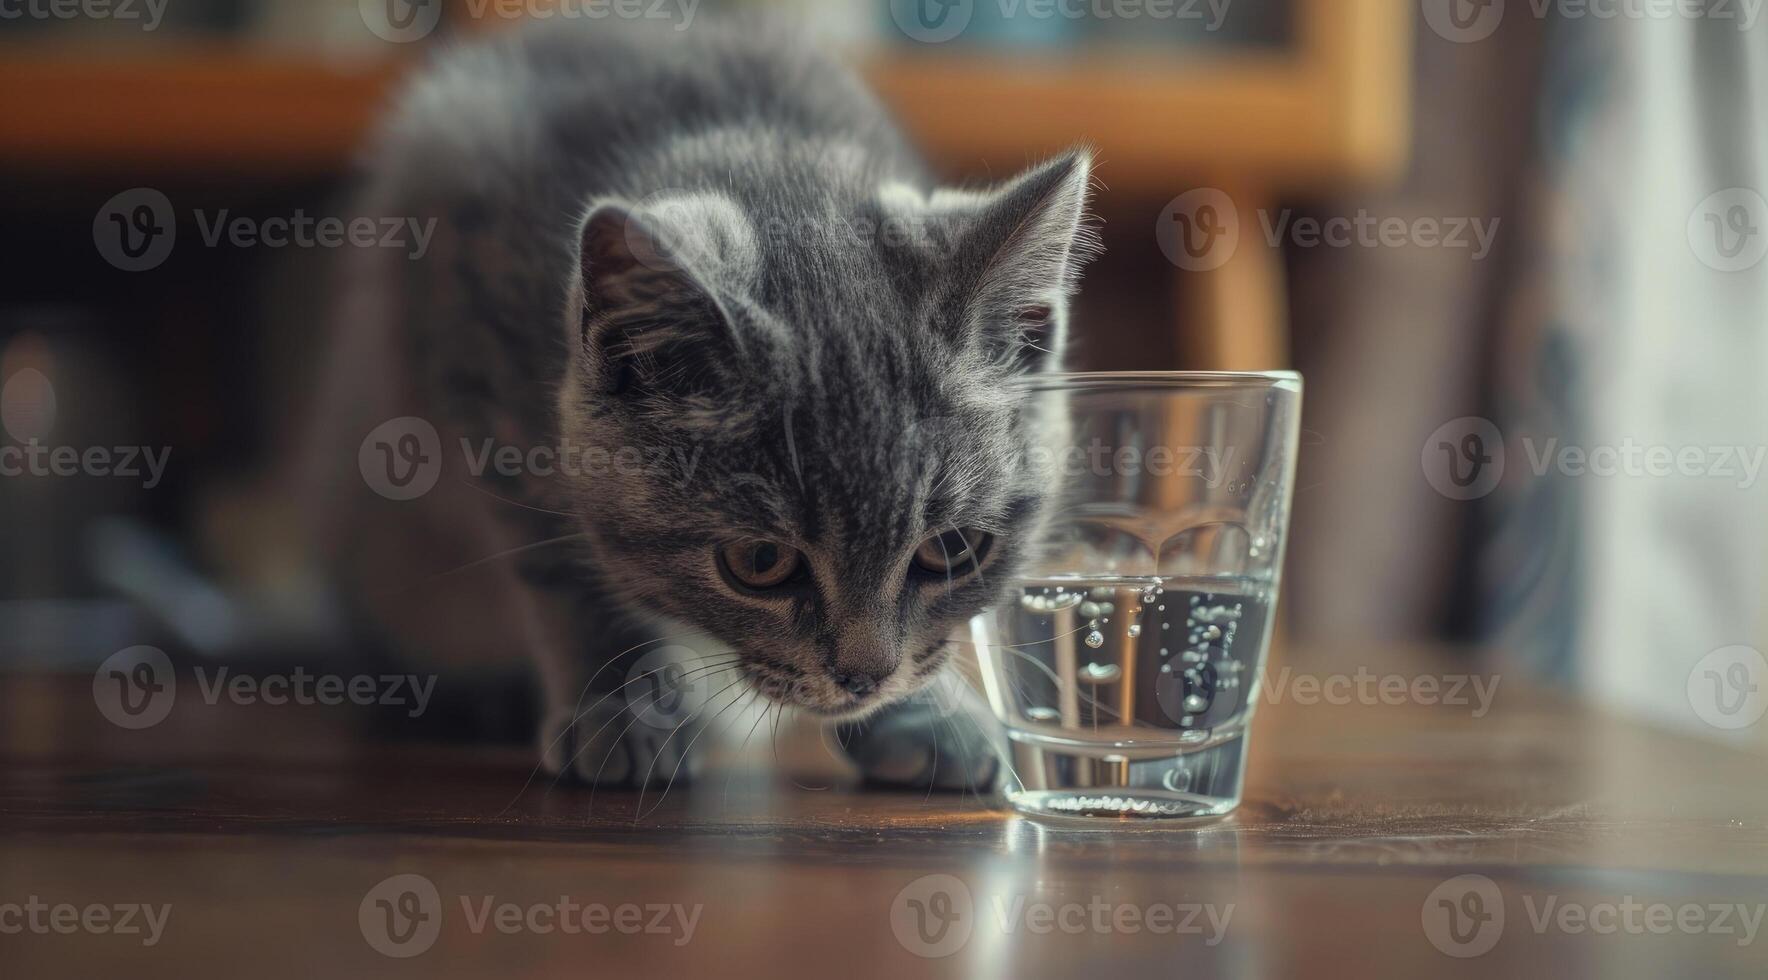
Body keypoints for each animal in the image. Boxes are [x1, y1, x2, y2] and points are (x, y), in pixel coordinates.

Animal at [311, 19, 1096, 788]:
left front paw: (921, 712)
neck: (753, 137)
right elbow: (565, 558)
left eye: (953, 548)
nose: (864, 678)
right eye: (759, 560)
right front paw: (621, 705)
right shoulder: (471, 355)